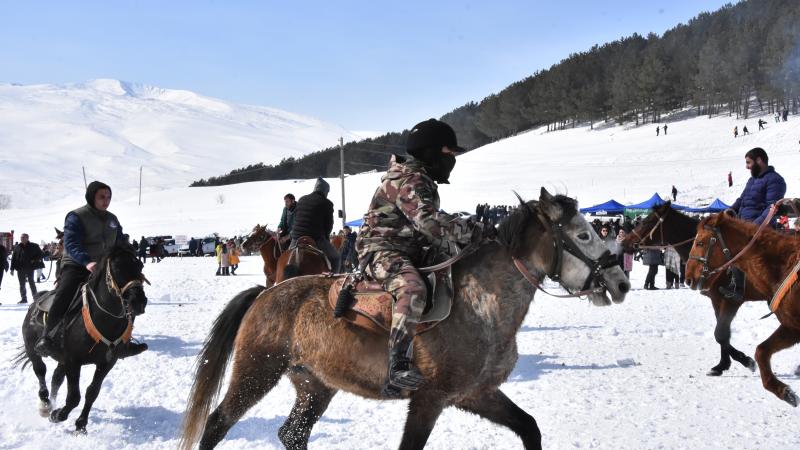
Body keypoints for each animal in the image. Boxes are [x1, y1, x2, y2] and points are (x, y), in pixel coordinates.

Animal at [13, 243, 149, 434]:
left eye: (140, 266)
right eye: (117, 268)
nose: (138, 302)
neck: (104, 319)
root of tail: (36, 301)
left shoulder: (107, 362)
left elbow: (92, 392)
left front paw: (81, 423)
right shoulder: (73, 361)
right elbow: (74, 396)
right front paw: (58, 415)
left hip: (61, 359)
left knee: (56, 378)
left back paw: (53, 403)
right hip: (33, 348)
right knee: (40, 371)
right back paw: (46, 405)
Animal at [179, 188, 630, 450]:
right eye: (584, 234)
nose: (620, 281)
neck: (483, 304)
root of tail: (265, 294)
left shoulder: (475, 393)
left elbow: (529, 427)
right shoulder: (429, 399)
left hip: (315, 385)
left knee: (293, 434)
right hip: (257, 371)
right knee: (216, 425)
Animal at [621, 202, 760, 376]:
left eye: (647, 222)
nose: (623, 243)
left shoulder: (730, 301)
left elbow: (720, 335)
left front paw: (747, 361)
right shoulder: (717, 301)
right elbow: (722, 334)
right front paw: (722, 365)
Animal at [684, 212, 800, 406]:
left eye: (699, 242)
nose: (688, 278)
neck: (782, 265)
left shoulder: (729, 301)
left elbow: (722, 334)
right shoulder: (791, 327)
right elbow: (759, 351)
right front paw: (784, 392)